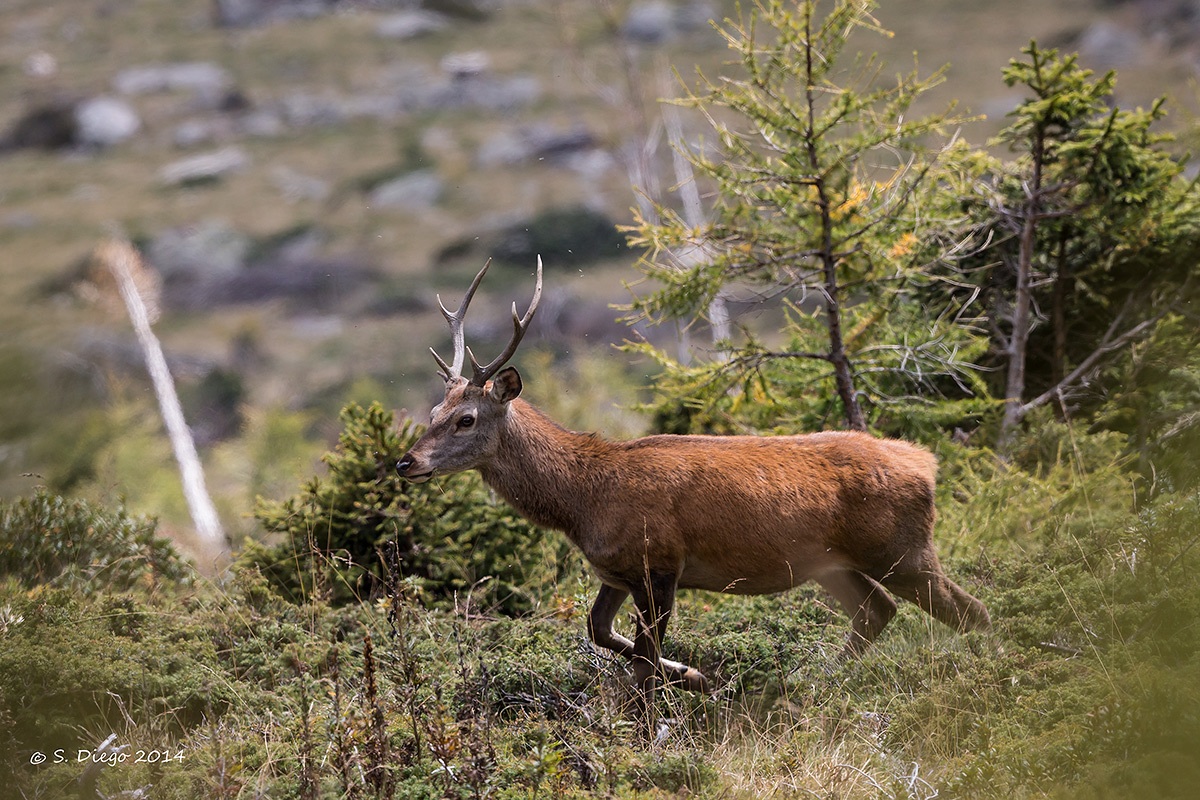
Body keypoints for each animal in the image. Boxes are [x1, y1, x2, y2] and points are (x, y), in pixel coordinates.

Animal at [396, 259, 991, 723]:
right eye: (433, 411)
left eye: (467, 419)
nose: (406, 462)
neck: (583, 499)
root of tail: (927, 464)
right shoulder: (616, 570)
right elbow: (601, 634)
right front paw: (700, 675)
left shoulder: (660, 561)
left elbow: (640, 664)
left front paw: (653, 719)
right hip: (832, 564)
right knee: (878, 611)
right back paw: (809, 686)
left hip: (900, 549)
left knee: (971, 611)